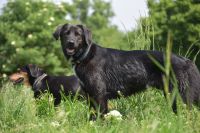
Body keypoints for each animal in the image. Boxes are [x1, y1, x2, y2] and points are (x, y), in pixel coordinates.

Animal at [53, 23, 200, 118]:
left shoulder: (99, 94)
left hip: (183, 95)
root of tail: (187, 60)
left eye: (78, 35)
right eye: (66, 34)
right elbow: (92, 116)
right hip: (172, 95)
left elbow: (99, 116)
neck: (86, 55)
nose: (70, 43)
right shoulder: (90, 95)